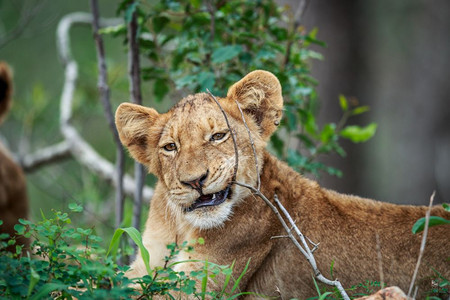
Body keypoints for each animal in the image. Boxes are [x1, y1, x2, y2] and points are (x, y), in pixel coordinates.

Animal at [116, 71, 450, 300]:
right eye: (170, 147)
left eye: (218, 136)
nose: (195, 180)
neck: (182, 226)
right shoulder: (144, 264)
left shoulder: (200, 285)